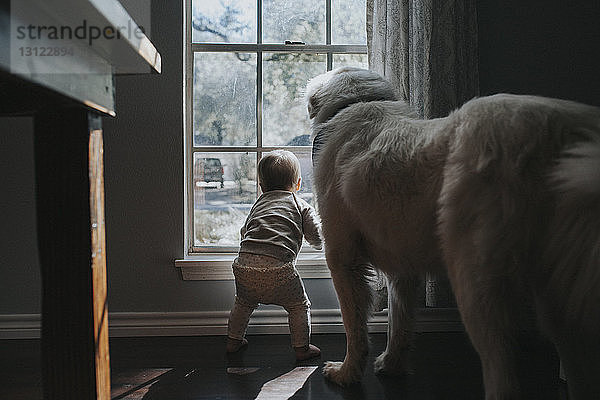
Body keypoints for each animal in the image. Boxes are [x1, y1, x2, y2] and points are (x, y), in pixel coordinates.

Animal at [308, 67, 596, 398]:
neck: (358, 102)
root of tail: (562, 139)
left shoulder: (343, 258)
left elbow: (354, 325)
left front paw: (347, 373)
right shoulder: (402, 263)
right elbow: (399, 320)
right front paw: (392, 365)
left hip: (477, 283)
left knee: (502, 373)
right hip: (562, 299)